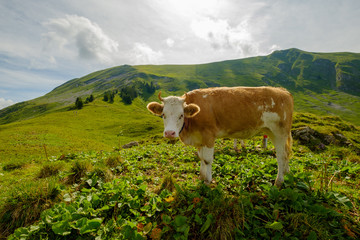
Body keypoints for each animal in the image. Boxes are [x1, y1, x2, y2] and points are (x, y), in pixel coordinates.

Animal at [146, 87, 292, 187]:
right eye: (163, 115)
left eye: (181, 115)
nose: (169, 133)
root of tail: (282, 91)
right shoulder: (199, 139)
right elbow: (201, 158)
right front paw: (201, 176)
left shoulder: (209, 136)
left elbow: (207, 160)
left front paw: (207, 180)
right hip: (272, 132)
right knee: (286, 154)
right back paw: (286, 172)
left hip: (280, 132)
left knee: (281, 155)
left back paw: (279, 181)